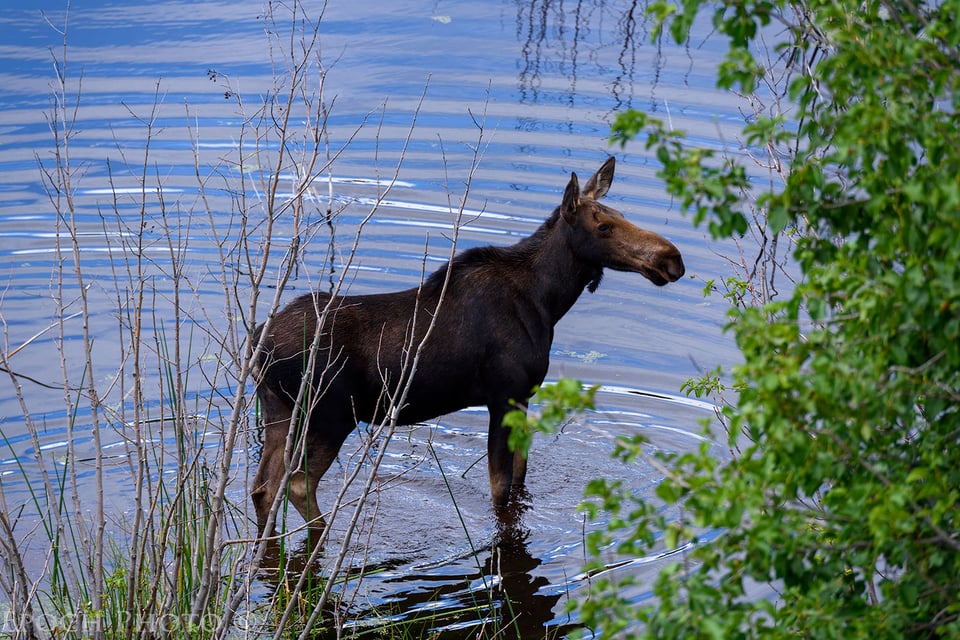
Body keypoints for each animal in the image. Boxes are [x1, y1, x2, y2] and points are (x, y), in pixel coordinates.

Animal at [248, 158, 684, 532]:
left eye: (621, 215)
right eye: (603, 227)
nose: (672, 258)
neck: (548, 300)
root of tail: (258, 343)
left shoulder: (524, 397)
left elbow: (521, 474)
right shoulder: (503, 395)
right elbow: (500, 490)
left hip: (278, 409)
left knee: (262, 488)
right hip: (329, 413)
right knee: (298, 485)